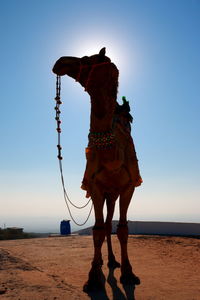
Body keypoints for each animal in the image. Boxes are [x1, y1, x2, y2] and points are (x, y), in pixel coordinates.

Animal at [52, 48, 142, 292]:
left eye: (87, 59)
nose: (60, 62)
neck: (111, 153)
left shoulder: (128, 187)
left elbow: (122, 229)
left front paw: (129, 273)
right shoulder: (95, 186)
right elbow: (97, 230)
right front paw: (92, 277)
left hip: (113, 194)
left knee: (110, 223)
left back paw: (112, 261)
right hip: (102, 193)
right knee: (100, 225)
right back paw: (102, 261)